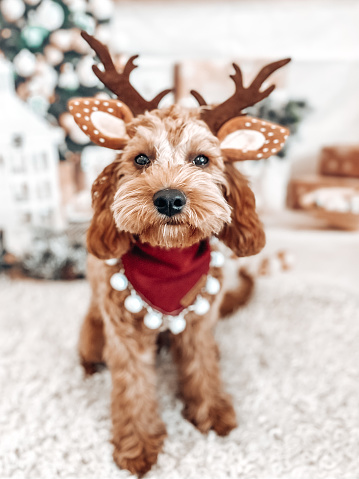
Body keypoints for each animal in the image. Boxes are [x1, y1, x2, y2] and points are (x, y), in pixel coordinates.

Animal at [69, 32, 292, 476]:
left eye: (201, 159)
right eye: (141, 158)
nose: (170, 198)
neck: (169, 264)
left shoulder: (201, 324)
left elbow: (202, 364)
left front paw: (211, 411)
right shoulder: (125, 338)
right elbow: (133, 387)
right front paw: (137, 446)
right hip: (92, 333)